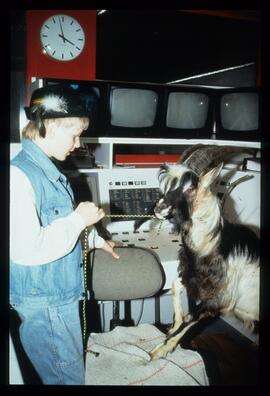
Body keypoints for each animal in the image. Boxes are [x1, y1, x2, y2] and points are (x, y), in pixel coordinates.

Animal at [150, 162, 260, 362]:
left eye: (190, 188)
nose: (158, 208)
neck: (211, 243)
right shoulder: (191, 277)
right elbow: (175, 286)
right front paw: (173, 326)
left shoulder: (219, 299)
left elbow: (192, 317)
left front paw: (161, 349)